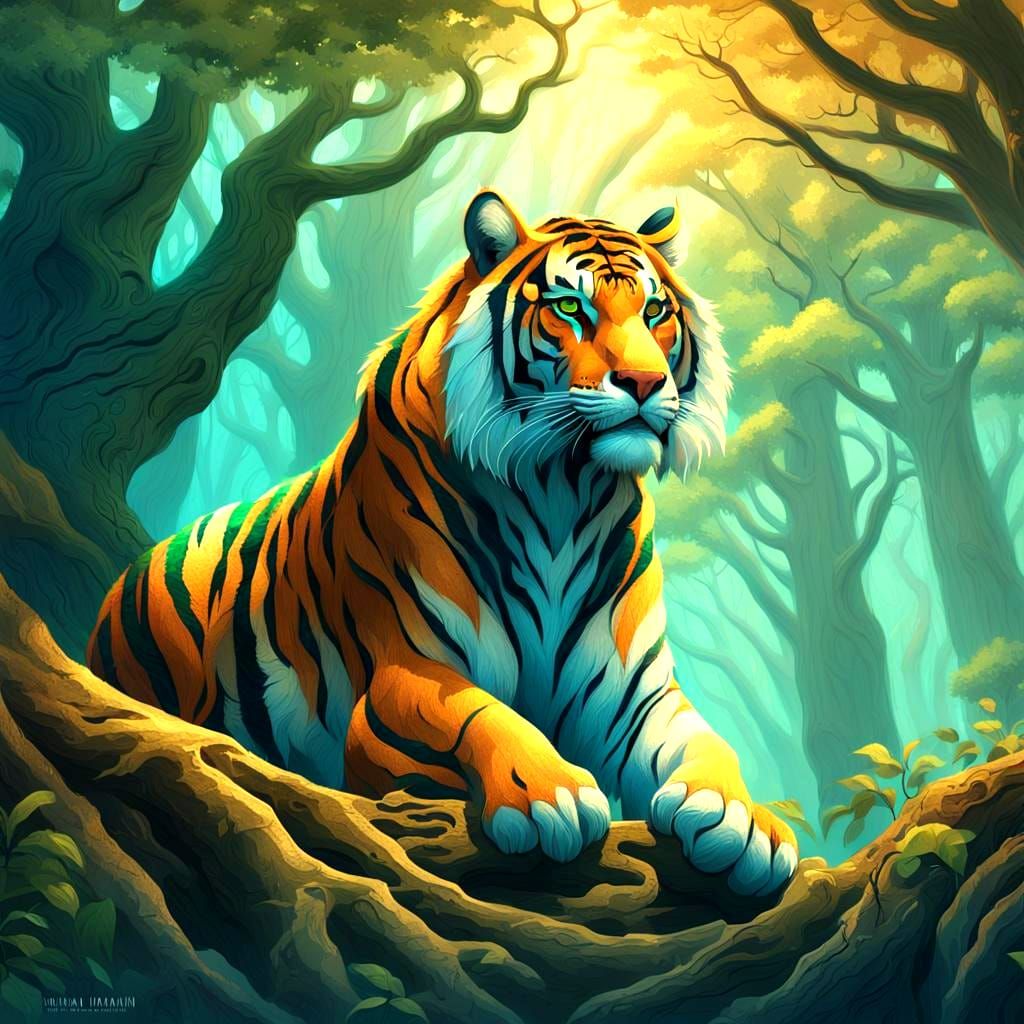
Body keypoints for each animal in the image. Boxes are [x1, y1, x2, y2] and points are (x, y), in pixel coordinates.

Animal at [87, 190, 797, 894]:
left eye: (655, 312)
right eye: (571, 307)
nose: (646, 384)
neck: (565, 495)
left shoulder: (632, 691)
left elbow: (703, 740)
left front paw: (744, 818)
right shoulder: (402, 676)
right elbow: (478, 712)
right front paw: (550, 792)